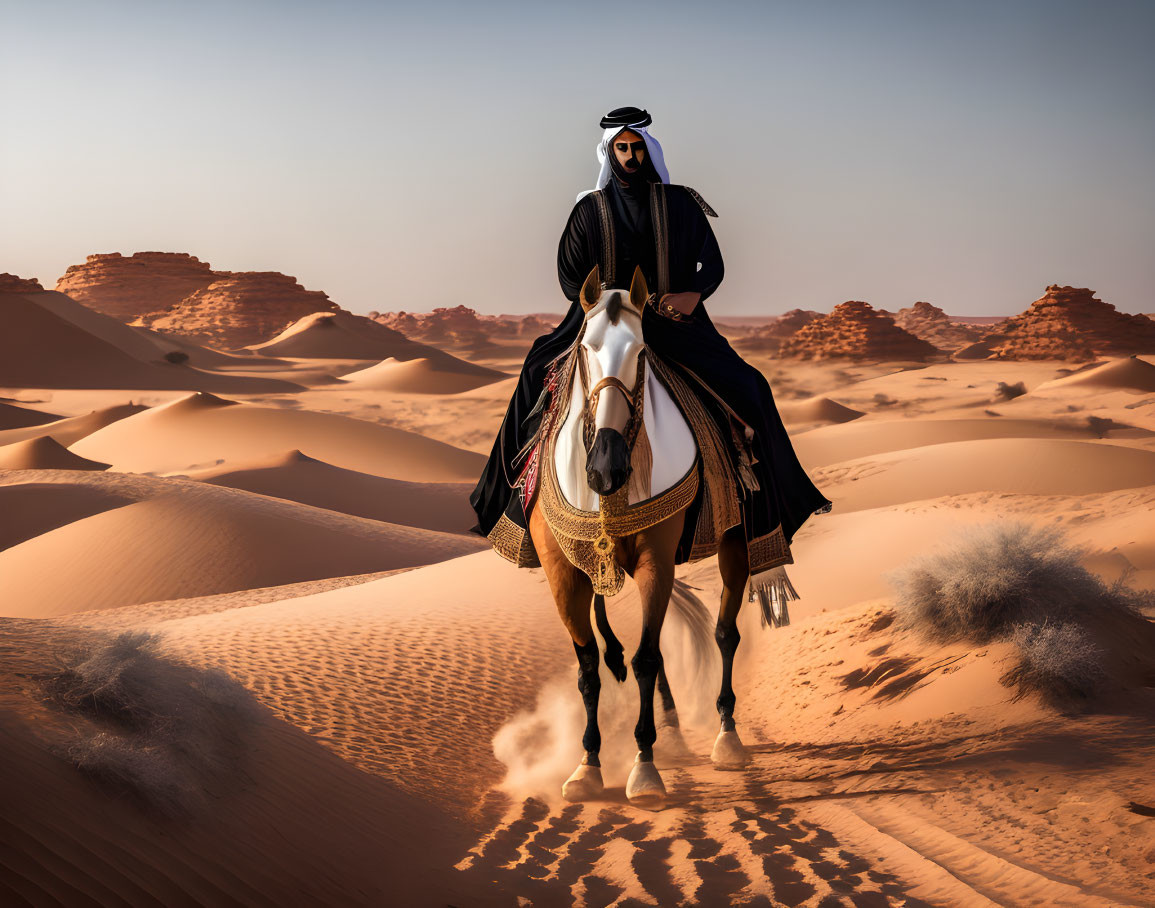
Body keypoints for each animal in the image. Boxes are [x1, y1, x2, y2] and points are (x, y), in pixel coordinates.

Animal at [526, 262, 757, 808]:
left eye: (641, 351)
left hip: (732, 543)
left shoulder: (657, 558)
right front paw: (587, 766)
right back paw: (673, 733)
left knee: (725, 632)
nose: (605, 468)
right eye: (585, 349)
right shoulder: (563, 571)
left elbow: (647, 657)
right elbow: (589, 666)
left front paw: (644, 767)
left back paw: (725, 736)